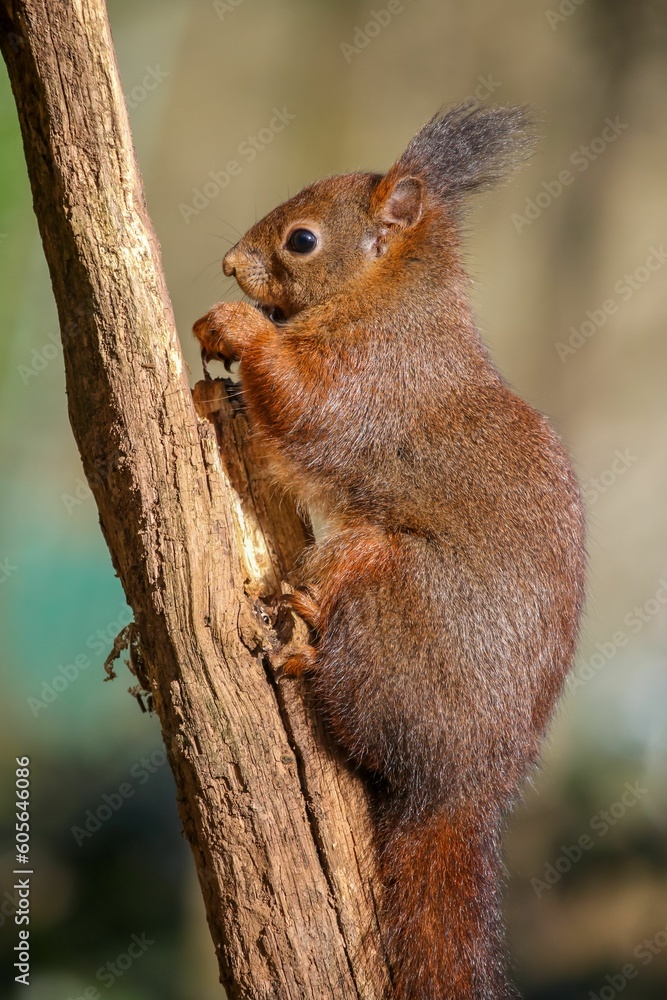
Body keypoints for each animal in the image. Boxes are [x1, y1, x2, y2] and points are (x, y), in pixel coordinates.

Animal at [193, 102, 586, 1000]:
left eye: (301, 240)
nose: (230, 263)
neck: (387, 299)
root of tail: (464, 789)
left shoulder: (369, 383)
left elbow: (302, 403)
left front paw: (232, 330)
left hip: (390, 592)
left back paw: (306, 648)